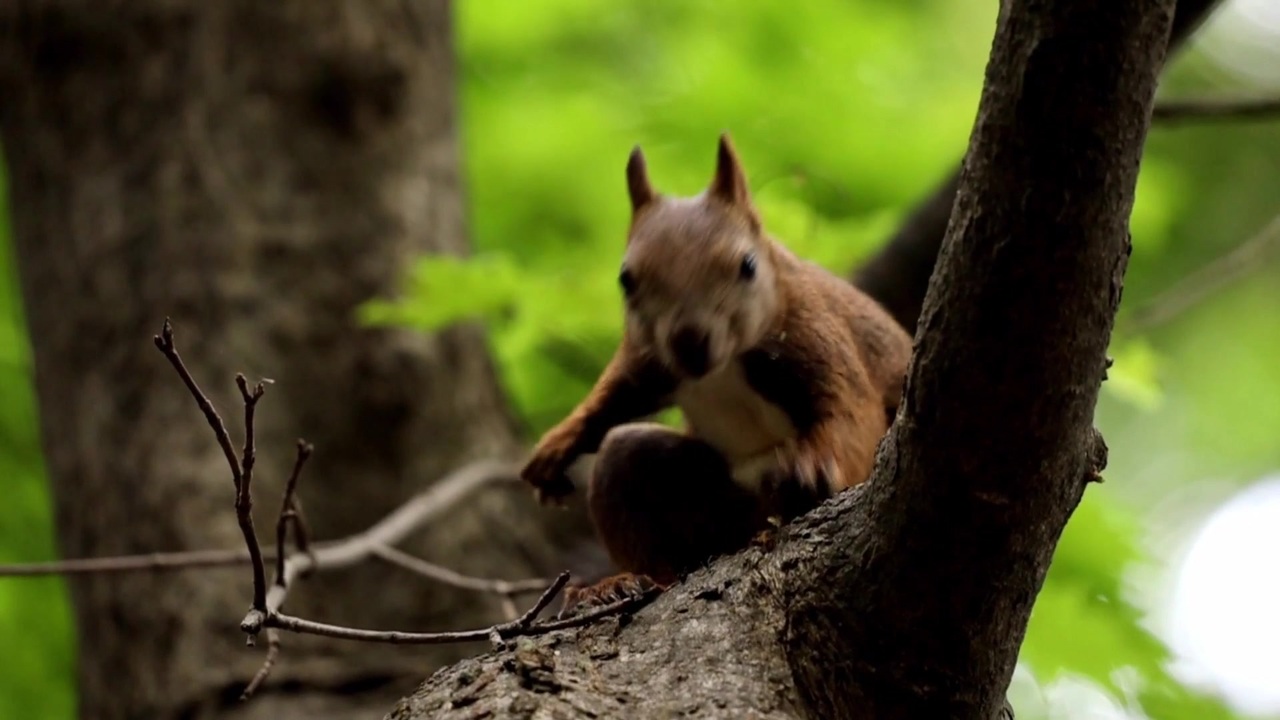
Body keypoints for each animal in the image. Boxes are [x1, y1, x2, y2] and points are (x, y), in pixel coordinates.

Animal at [514, 131, 916, 607]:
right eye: (626, 279)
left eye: (747, 266)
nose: (690, 343)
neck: (723, 369)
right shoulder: (648, 360)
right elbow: (612, 399)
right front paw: (558, 445)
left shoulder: (815, 333)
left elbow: (848, 410)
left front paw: (814, 467)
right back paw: (619, 584)